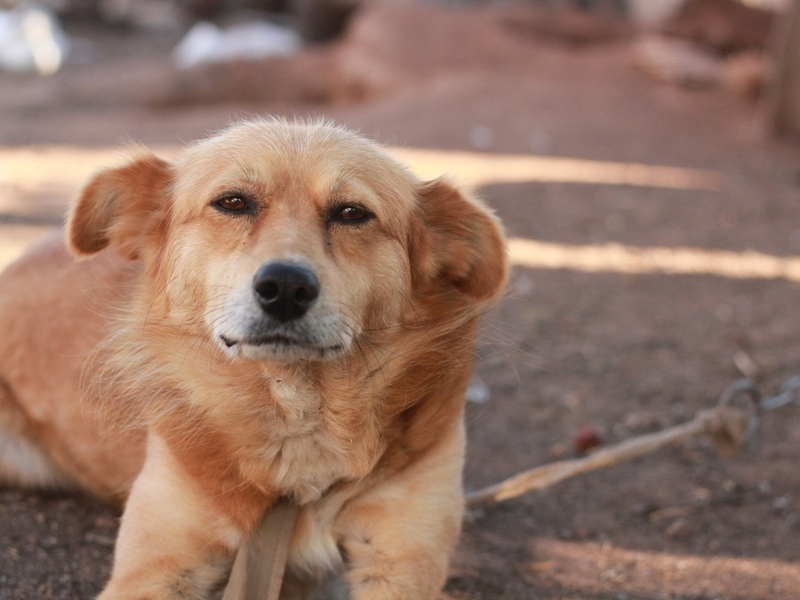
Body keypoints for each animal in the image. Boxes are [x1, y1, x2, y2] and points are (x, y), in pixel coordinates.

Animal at [0, 118, 506, 600]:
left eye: (351, 212)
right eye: (232, 202)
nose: (286, 287)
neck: (298, 415)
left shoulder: (401, 564)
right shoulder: (155, 570)